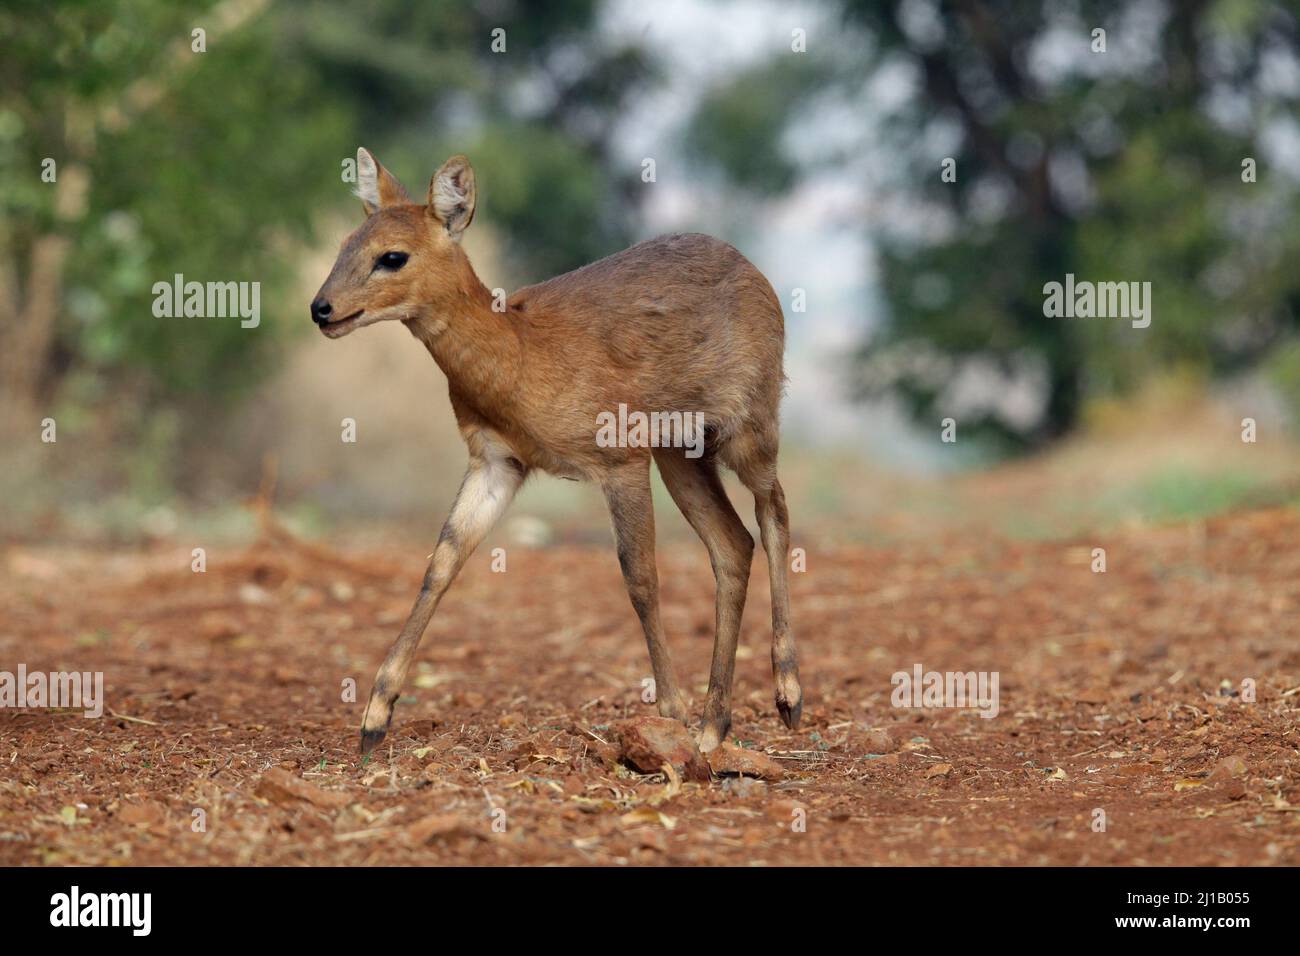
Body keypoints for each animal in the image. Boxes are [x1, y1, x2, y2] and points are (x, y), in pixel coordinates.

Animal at [314, 149, 800, 759]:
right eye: (346, 243)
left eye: (392, 256)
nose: (322, 309)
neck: (519, 354)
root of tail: (757, 273)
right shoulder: (497, 463)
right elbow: (442, 561)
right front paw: (374, 718)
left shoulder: (620, 459)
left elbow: (640, 577)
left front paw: (669, 711)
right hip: (682, 454)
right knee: (733, 543)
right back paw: (715, 727)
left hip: (748, 426)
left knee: (774, 512)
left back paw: (786, 696)